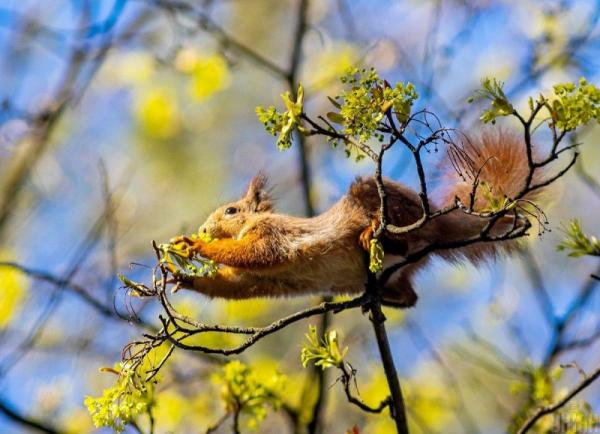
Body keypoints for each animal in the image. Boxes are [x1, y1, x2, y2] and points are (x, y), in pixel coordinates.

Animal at [176, 131, 536, 306]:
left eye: (231, 211)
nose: (204, 229)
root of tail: (436, 222)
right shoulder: (257, 280)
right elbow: (235, 286)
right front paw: (182, 277)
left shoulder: (273, 234)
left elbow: (257, 254)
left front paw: (192, 245)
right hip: (395, 274)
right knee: (411, 296)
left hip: (384, 203)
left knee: (401, 237)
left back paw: (375, 233)